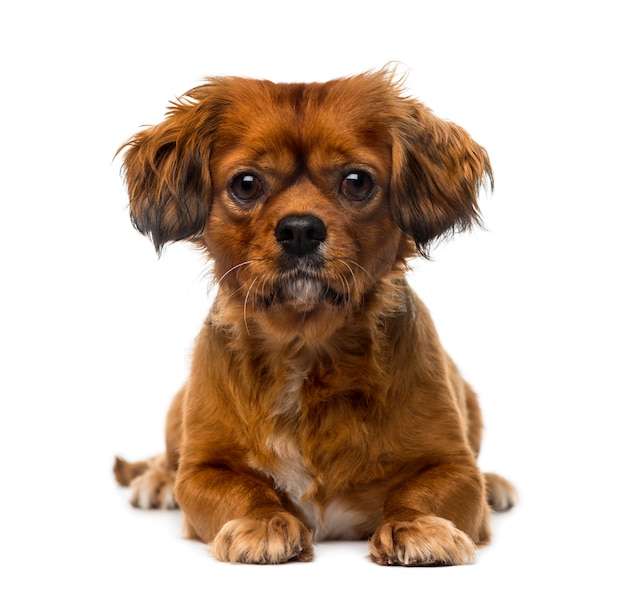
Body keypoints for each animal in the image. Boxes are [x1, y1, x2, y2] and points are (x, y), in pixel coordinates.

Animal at [114, 67, 516, 568]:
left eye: (357, 181)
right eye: (246, 184)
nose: (301, 229)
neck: (305, 345)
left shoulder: (452, 464)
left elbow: (428, 491)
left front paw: (419, 526)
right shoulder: (203, 469)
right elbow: (238, 489)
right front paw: (264, 522)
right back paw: (155, 480)